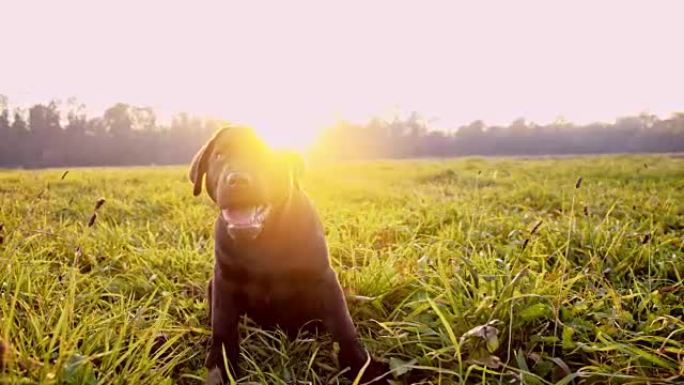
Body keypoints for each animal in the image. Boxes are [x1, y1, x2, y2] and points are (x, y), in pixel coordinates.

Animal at [190, 125, 388, 380]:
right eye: (219, 156)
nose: (237, 180)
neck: (264, 239)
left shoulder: (324, 279)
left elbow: (343, 325)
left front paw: (363, 368)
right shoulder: (224, 281)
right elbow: (223, 329)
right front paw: (219, 370)